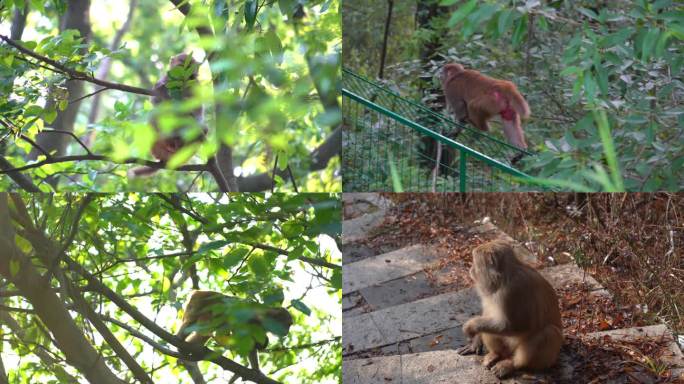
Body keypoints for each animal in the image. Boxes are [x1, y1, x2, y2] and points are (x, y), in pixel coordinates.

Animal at [456, 240, 564, 378]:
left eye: (475, 262)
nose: (471, 269)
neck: (502, 277)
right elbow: (489, 314)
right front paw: (476, 341)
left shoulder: (512, 291)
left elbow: (515, 325)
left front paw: (471, 326)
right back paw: (496, 354)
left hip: (547, 358)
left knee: (549, 333)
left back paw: (512, 364)